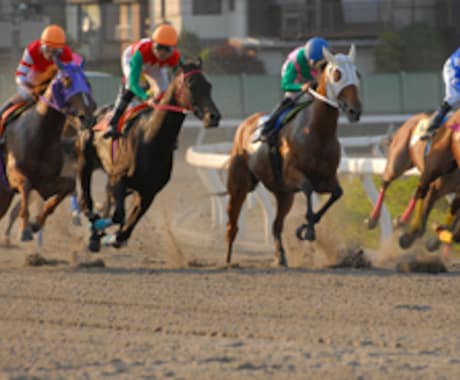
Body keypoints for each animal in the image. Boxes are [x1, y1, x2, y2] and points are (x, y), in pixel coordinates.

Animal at [0, 62, 95, 240]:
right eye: (66, 82)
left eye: (87, 82)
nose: (87, 117)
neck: (41, 135)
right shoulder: (13, 174)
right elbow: (26, 185)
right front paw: (24, 229)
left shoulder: (46, 183)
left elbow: (68, 187)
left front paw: (36, 224)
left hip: (4, 196)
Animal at [77, 58, 221, 251]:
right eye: (191, 85)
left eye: (209, 85)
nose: (214, 117)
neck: (151, 140)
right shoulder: (119, 178)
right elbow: (118, 216)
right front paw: (102, 231)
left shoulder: (149, 192)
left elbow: (125, 230)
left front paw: (112, 237)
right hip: (85, 163)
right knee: (86, 203)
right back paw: (94, 228)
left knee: (107, 201)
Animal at [225, 46, 362, 266]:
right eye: (337, 73)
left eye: (357, 73)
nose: (354, 110)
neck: (317, 132)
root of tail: (247, 122)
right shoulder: (292, 174)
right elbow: (307, 187)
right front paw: (309, 230)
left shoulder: (325, 179)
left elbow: (337, 193)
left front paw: (307, 225)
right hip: (240, 184)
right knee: (232, 222)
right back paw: (228, 259)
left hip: (284, 195)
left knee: (276, 225)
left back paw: (281, 256)